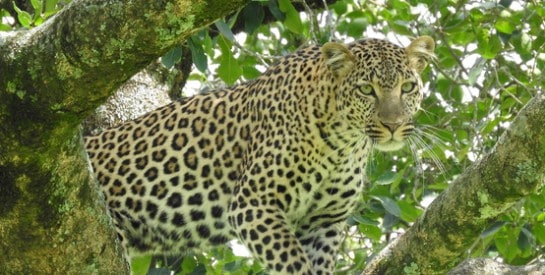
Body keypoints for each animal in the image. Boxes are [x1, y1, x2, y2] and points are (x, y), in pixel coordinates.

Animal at [85, 35, 434, 274]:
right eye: (365, 90)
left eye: (407, 87)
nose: (393, 125)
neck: (344, 143)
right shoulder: (254, 204)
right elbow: (293, 263)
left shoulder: (324, 222)